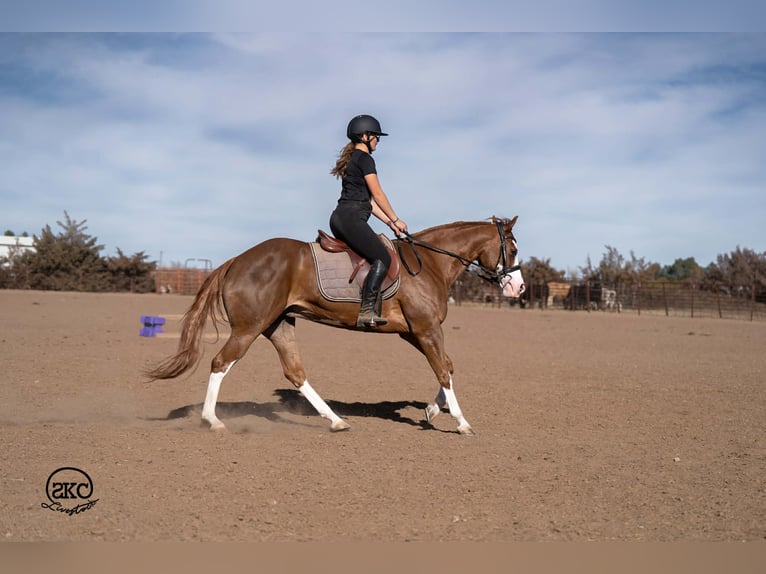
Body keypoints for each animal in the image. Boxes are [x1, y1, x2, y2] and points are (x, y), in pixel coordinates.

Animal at [145, 216, 525, 436]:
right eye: (513, 249)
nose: (518, 288)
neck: (430, 263)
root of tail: (237, 260)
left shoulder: (413, 332)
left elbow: (446, 367)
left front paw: (432, 412)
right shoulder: (426, 329)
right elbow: (444, 371)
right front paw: (461, 422)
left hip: (279, 324)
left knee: (295, 373)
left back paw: (336, 420)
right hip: (248, 328)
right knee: (220, 363)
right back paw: (212, 420)